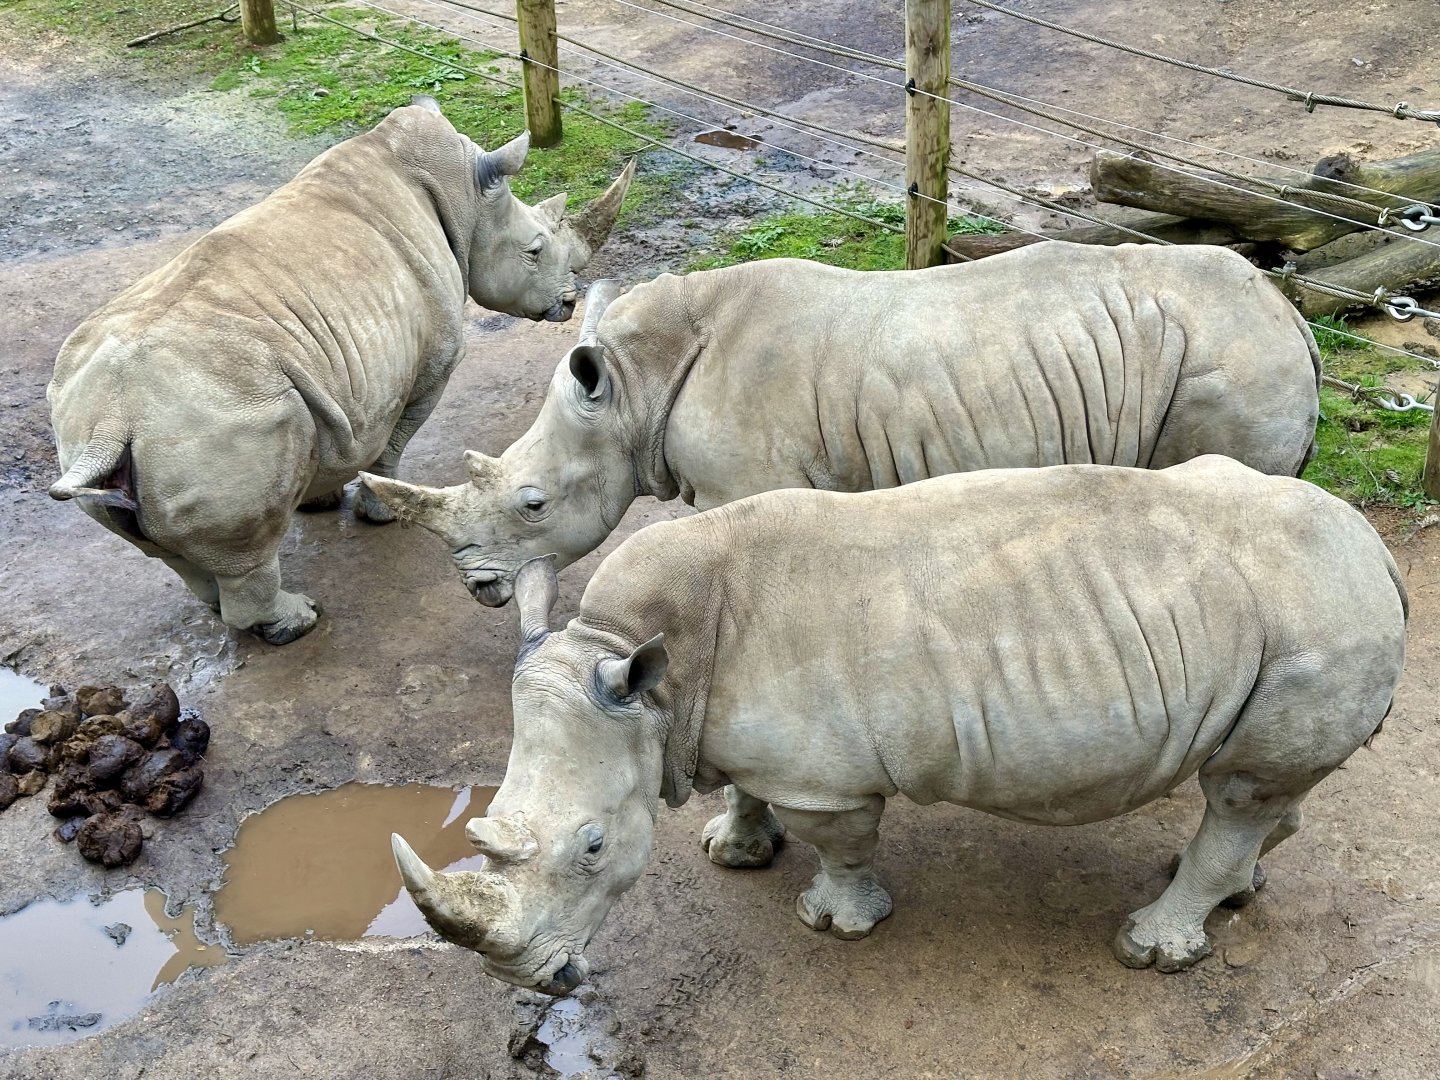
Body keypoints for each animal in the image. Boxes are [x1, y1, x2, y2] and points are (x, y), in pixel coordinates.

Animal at [46, 97, 633, 643]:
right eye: (534, 250)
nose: (568, 302)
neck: (466, 197)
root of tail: (116, 415)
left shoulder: (342, 390)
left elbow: (337, 444)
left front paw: (316, 502)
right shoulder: (432, 363)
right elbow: (392, 442)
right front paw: (379, 515)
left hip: (90, 421)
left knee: (168, 552)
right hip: (219, 421)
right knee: (245, 555)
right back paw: (297, 622)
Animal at [360, 243, 1321, 607]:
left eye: (532, 503)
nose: (477, 587)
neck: (634, 384)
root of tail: (1291, 316)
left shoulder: (748, 485)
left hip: (1233, 365)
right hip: (1231, 350)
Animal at [391, 456, 1406, 993]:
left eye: (593, 847)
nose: (527, 979)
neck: (647, 674)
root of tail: (1375, 552)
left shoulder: (825, 778)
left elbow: (840, 844)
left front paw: (835, 924)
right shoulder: (717, 725)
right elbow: (749, 790)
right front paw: (734, 850)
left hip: (1321, 616)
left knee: (1239, 791)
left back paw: (1152, 948)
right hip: (1301, 617)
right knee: (1253, 786)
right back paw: (1241, 885)